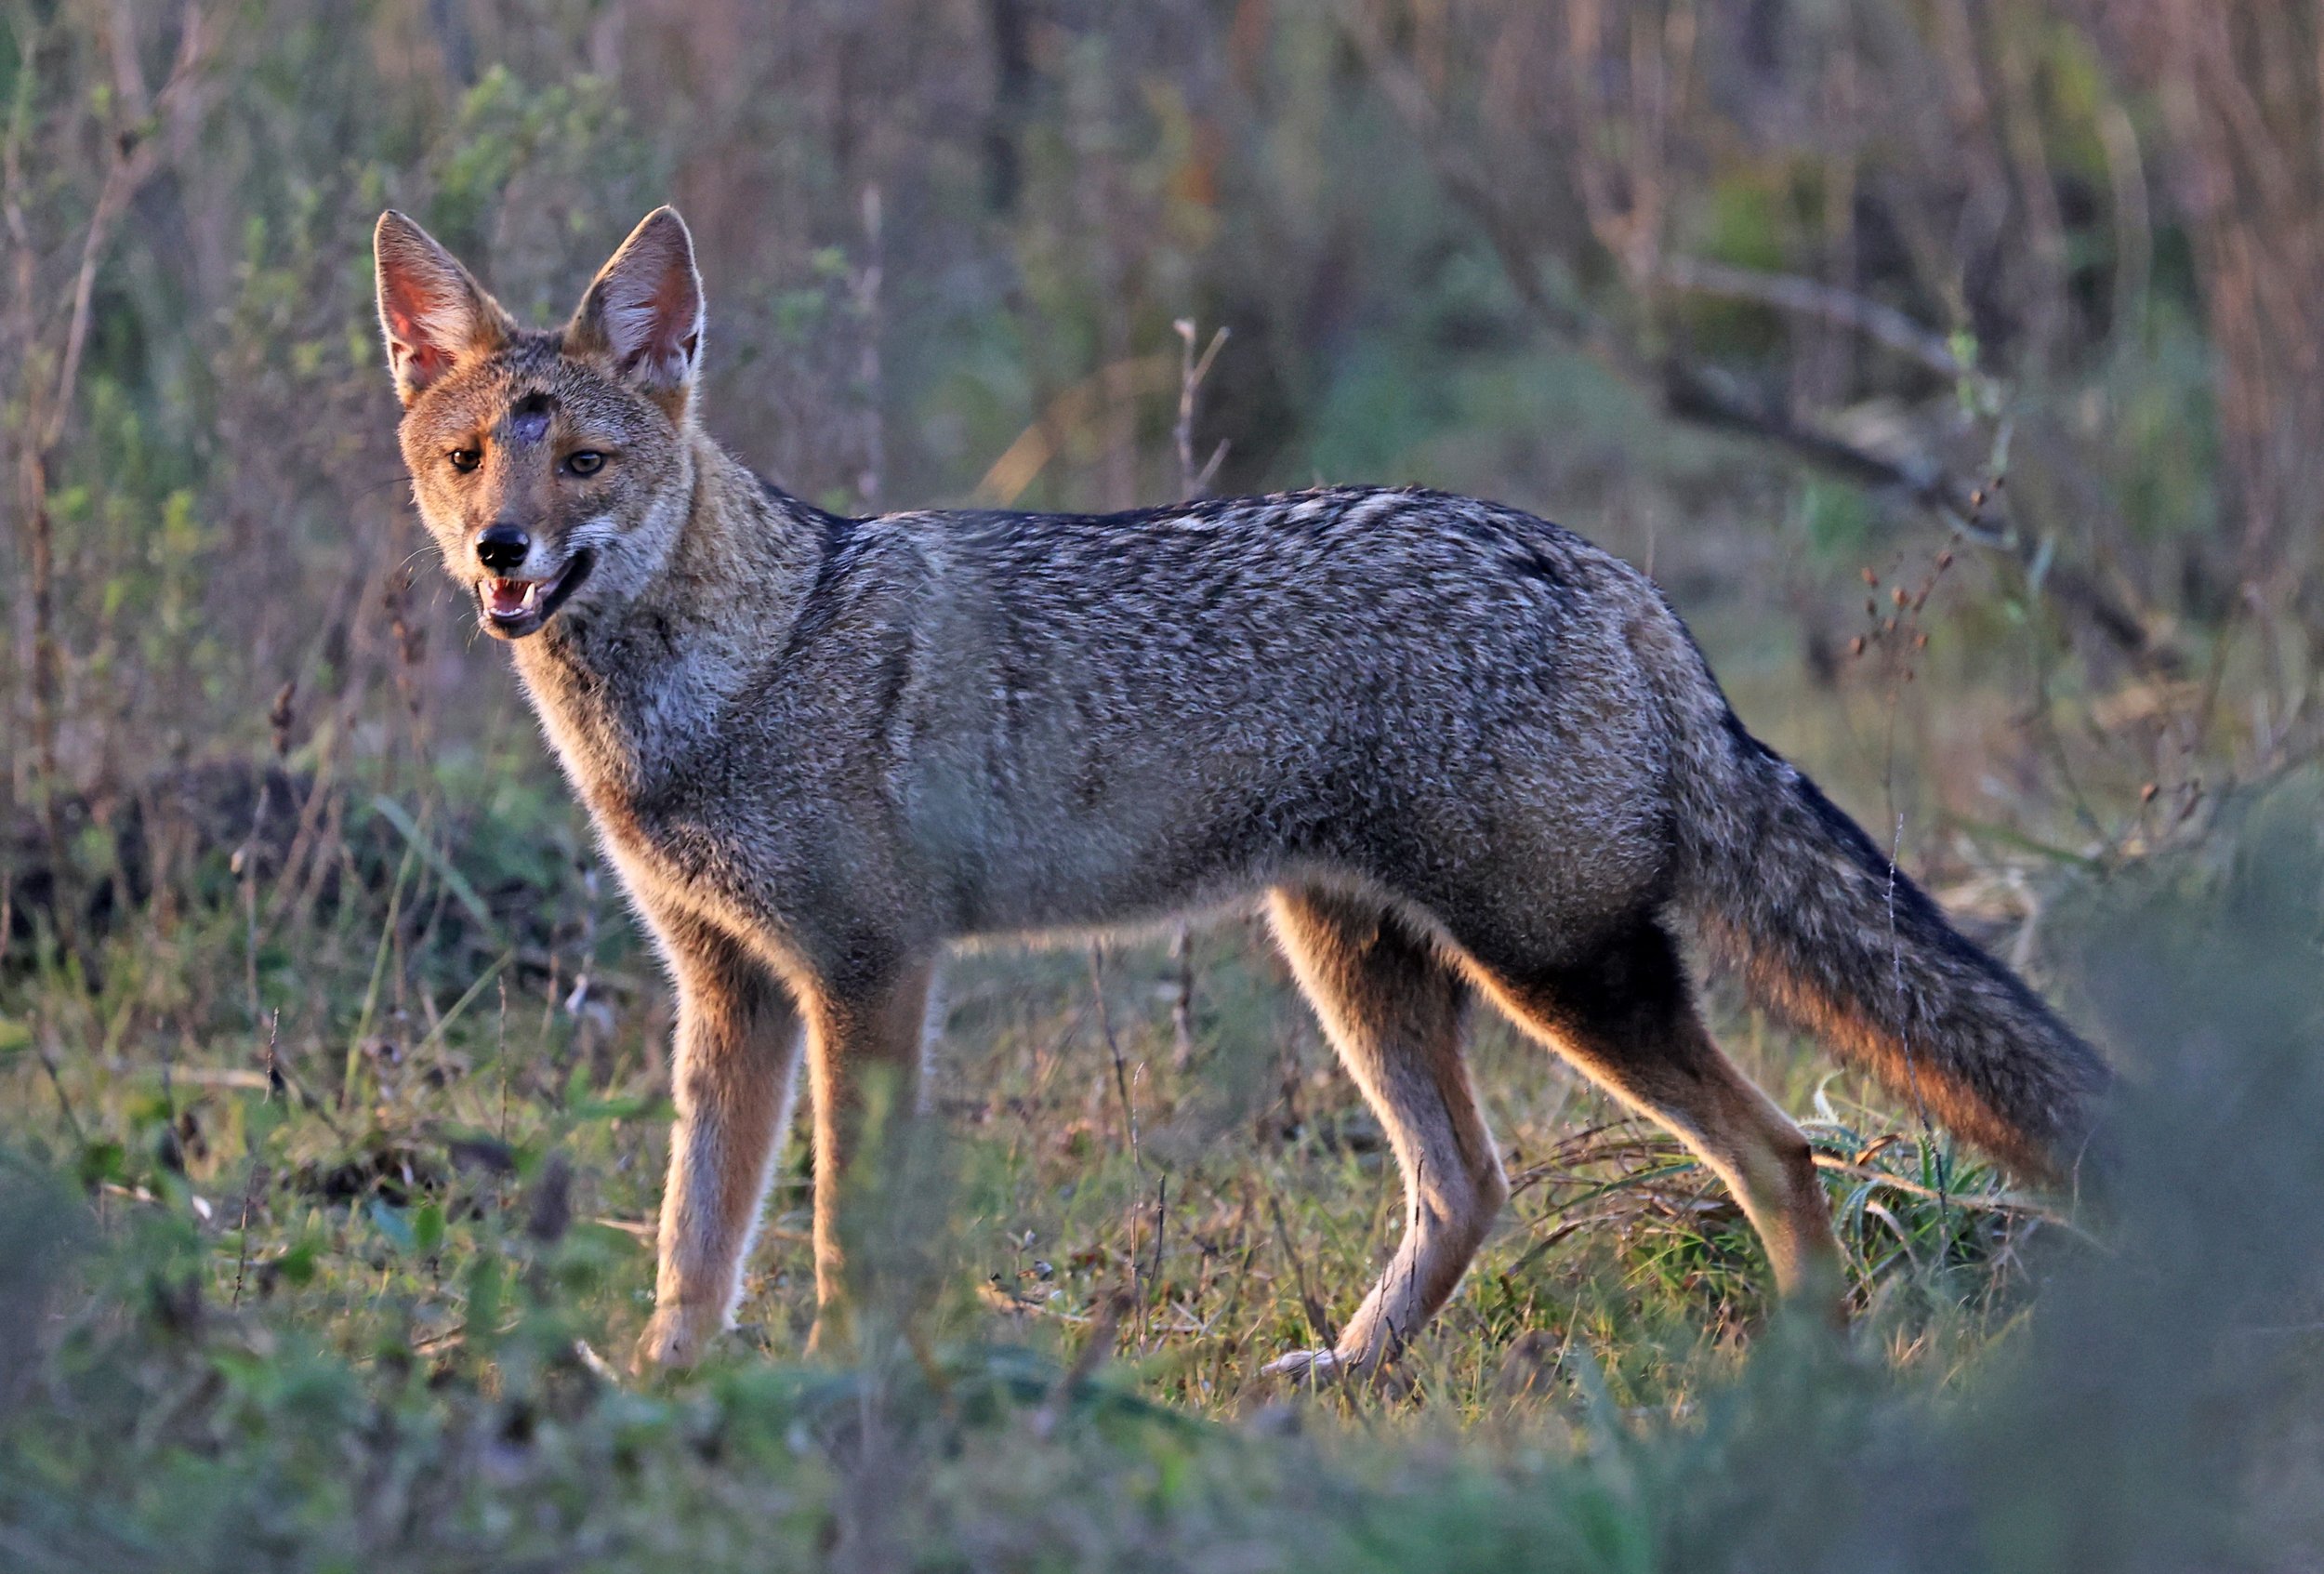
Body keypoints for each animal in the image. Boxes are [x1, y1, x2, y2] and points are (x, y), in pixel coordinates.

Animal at [374, 205, 2110, 1378]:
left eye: (583, 463)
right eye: (469, 460)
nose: (501, 553)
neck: (722, 676)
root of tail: (1598, 566)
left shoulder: (866, 974)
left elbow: (834, 1230)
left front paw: (840, 1390)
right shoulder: (726, 988)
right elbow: (693, 1239)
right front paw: (668, 1398)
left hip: (1558, 971)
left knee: (1778, 1152)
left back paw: (1808, 1370)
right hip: (1357, 962)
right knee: (1468, 1186)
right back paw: (1345, 1371)